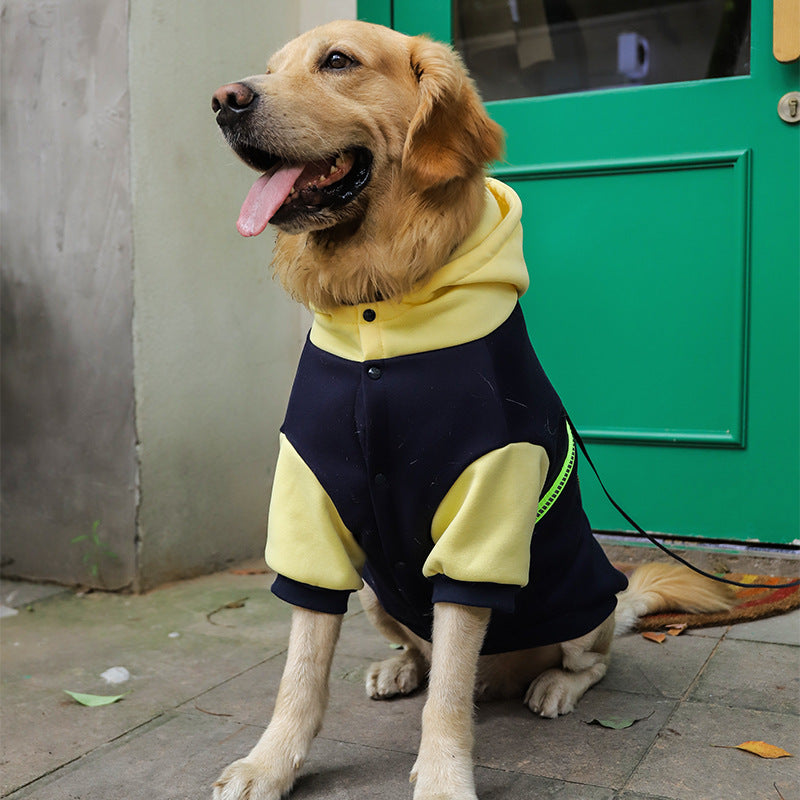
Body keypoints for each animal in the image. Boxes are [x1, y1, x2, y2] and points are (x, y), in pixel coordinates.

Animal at [209, 20, 736, 800]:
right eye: (270, 67)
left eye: (337, 61)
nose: (225, 101)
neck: (378, 304)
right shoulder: (309, 505)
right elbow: (301, 674)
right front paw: (270, 763)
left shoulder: (483, 511)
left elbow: (450, 696)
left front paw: (443, 778)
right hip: (377, 593)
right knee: (425, 656)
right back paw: (398, 668)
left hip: (587, 602)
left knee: (587, 662)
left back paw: (551, 686)